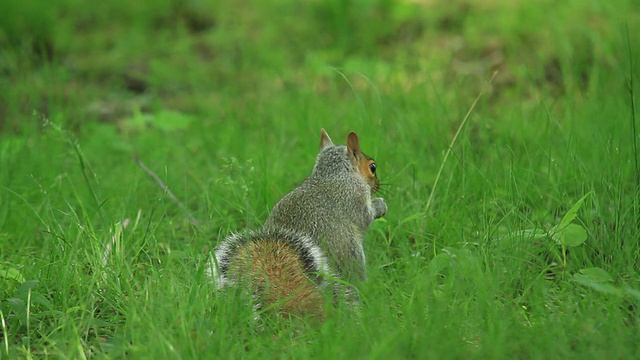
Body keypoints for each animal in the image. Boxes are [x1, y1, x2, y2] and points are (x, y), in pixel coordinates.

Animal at [206, 129, 384, 320]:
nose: (378, 185)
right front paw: (380, 205)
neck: (334, 174)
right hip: (353, 257)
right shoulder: (354, 197)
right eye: (372, 167)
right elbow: (365, 217)